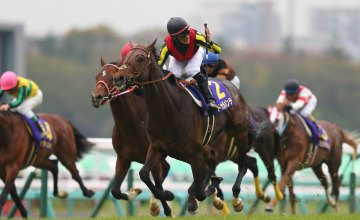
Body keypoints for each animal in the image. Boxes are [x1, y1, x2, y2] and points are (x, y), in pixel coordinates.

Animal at [91, 58, 173, 217]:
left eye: (112, 78)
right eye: (97, 77)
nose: (95, 97)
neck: (132, 125)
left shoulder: (154, 157)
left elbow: (156, 185)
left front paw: (166, 204)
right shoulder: (123, 158)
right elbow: (115, 191)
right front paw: (134, 191)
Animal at [114, 39, 252, 213]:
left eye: (140, 58)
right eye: (124, 59)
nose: (118, 78)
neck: (169, 109)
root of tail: (232, 86)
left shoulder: (194, 153)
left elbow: (200, 192)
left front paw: (210, 193)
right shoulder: (157, 147)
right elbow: (144, 174)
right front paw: (166, 194)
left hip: (239, 133)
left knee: (243, 163)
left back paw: (236, 198)